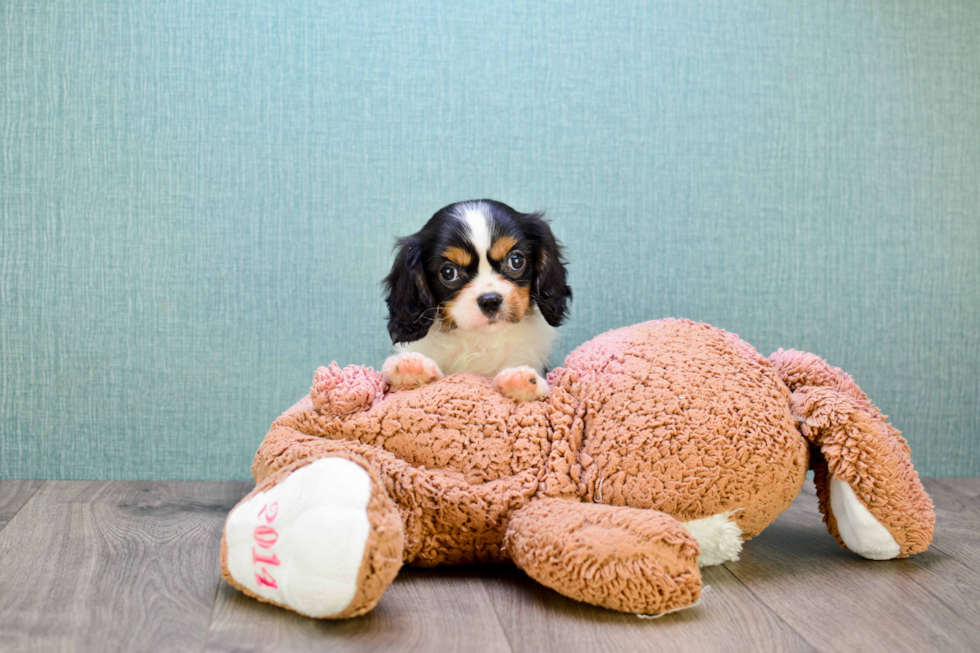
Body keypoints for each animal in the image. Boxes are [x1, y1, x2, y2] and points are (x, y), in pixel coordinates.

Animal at [378, 200, 572, 402]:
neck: (480, 339)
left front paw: (521, 381)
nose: (490, 301)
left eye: (516, 260)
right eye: (448, 272)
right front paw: (410, 367)